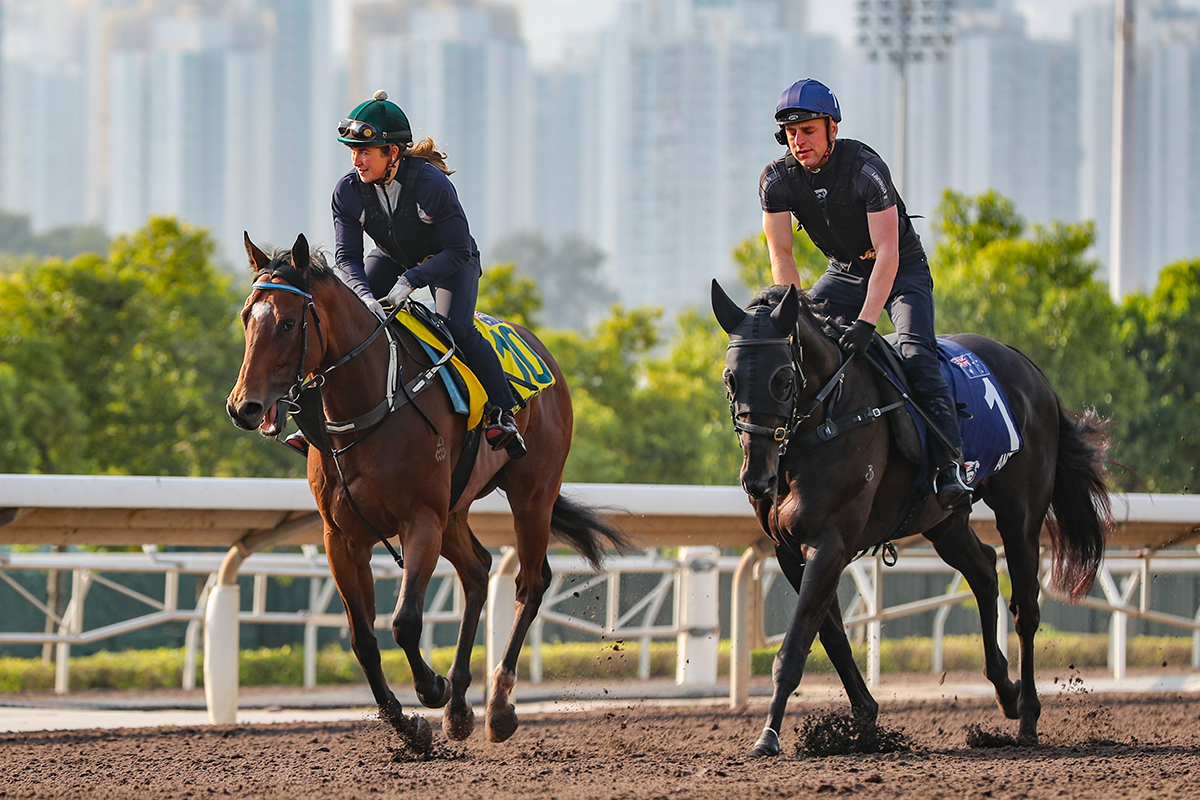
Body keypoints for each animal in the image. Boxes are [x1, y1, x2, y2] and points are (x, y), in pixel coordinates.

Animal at [224, 235, 628, 753]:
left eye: (289, 322)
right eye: (245, 316)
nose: (243, 407)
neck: (367, 407)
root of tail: (539, 348)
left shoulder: (420, 521)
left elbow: (405, 621)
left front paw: (431, 689)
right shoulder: (342, 538)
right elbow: (362, 638)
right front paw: (406, 724)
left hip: (531, 494)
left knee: (530, 583)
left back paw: (498, 706)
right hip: (454, 511)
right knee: (478, 571)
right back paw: (459, 709)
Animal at [705, 281, 1108, 758]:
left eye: (783, 381)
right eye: (730, 378)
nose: (757, 478)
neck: (827, 417)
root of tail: (1028, 367)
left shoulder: (830, 541)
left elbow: (797, 641)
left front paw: (768, 735)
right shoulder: (790, 550)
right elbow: (830, 635)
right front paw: (865, 722)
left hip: (1021, 515)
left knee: (1024, 607)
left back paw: (1027, 715)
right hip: (943, 520)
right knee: (983, 569)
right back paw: (1005, 691)